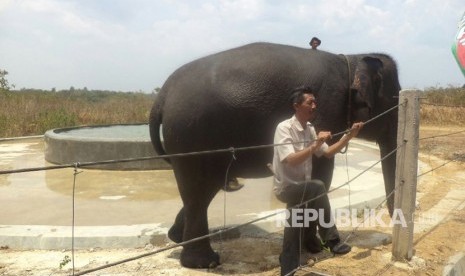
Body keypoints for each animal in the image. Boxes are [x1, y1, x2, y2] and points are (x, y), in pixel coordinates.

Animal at [149, 42, 398, 268]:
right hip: (192, 137)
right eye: (395, 100)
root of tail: (162, 96)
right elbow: (321, 174)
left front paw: (311, 246)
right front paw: (317, 247)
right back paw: (203, 262)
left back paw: (176, 238)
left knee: (204, 190)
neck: (349, 59)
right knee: (199, 191)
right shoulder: (327, 107)